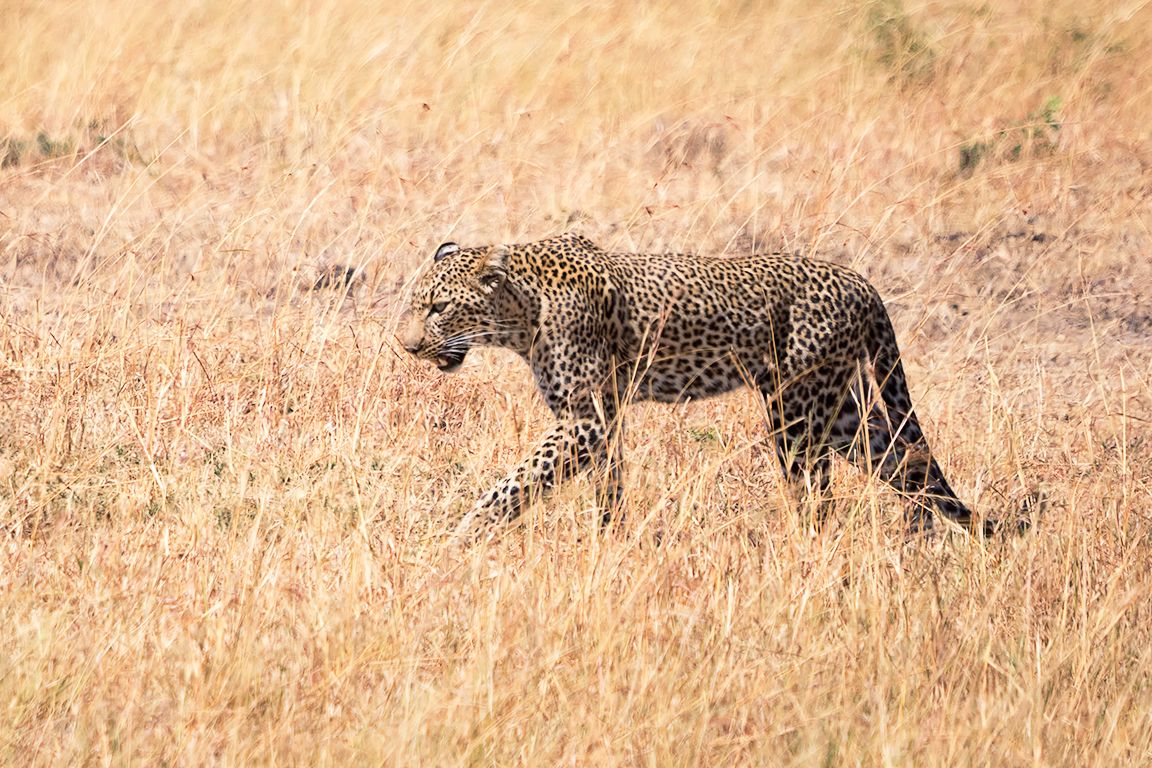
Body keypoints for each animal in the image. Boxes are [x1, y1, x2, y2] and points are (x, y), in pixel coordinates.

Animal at [400, 231, 1003, 539]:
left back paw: (802, 549)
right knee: (904, 459)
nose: (407, 347)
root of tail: (861, 281)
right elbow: (608, 485)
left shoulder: (584, 419)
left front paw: (463, 536)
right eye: (413, 304)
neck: (520, 312)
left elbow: (517, 482)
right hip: (843, 414)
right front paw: (611, 540)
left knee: (816, 493)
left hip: (796, 413)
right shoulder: (602, 418)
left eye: (439, 308)